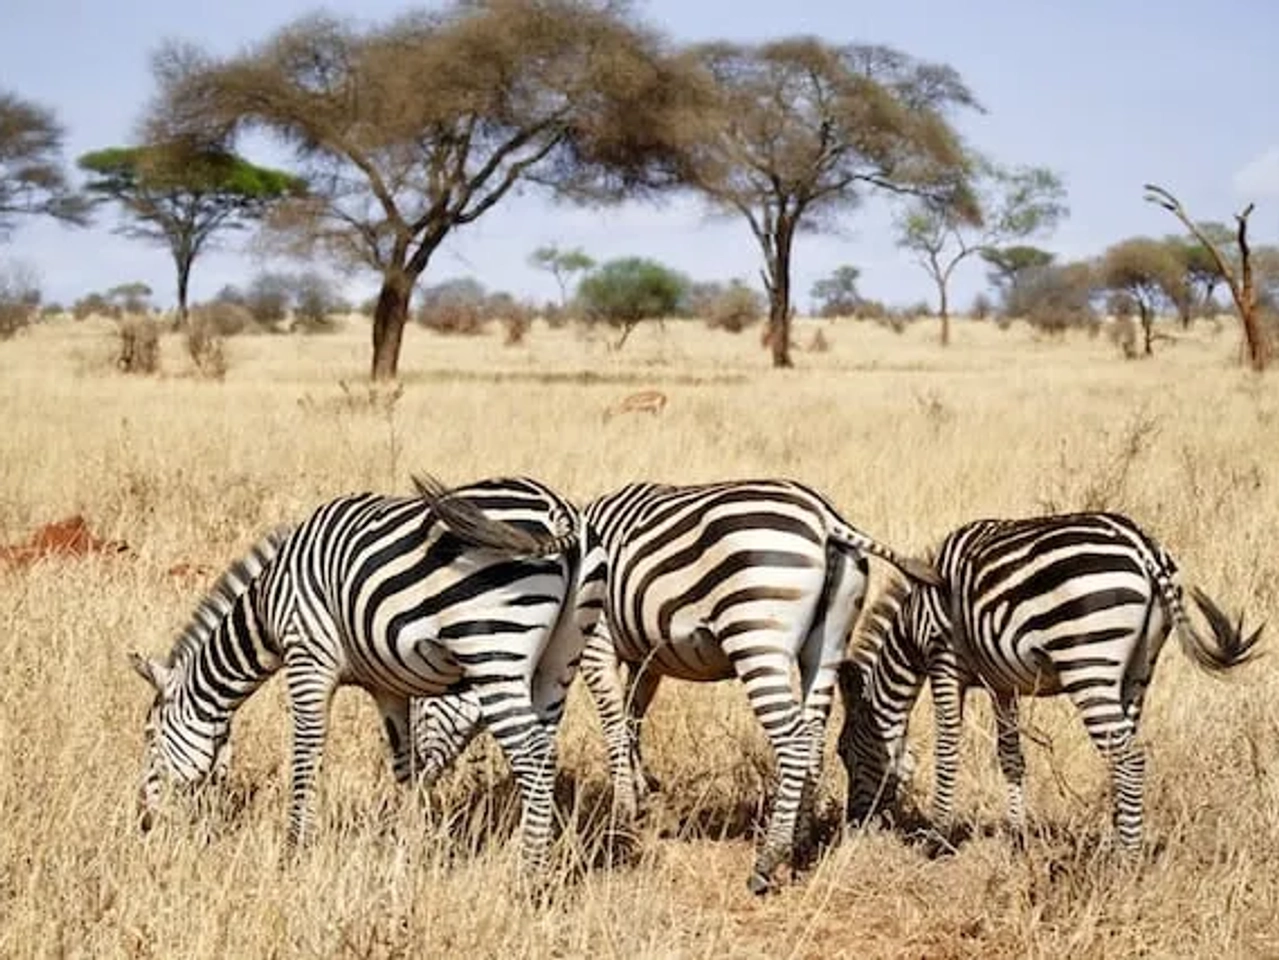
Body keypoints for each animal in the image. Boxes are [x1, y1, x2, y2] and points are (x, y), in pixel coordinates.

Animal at [129, 475, 590, 878]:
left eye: (150, 735)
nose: (144, 821)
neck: (266, 607)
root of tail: (557, 509)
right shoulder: (388, 685)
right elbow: (405, 766)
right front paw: (408, 846)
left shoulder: (308, 657)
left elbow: (306, 753)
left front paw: (296, 848)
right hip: (558, 663)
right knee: (545, 749)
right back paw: (532, 855)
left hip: (493, 649)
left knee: (533, 754)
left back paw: (527, 876)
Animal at [838, 511, 1262, 853]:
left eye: (844, 752)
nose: (853, 826)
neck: (912, 626)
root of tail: (1142, 546)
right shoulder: (1001, 683)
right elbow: (1010, 757)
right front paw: (1016, 836)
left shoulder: (944, 660)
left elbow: (946, 750)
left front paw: (937, 838)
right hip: (1139, 667)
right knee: (1122, 751)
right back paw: (1119, 838)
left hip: (1089, 664)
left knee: (1129, 758)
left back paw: (1127, 860)